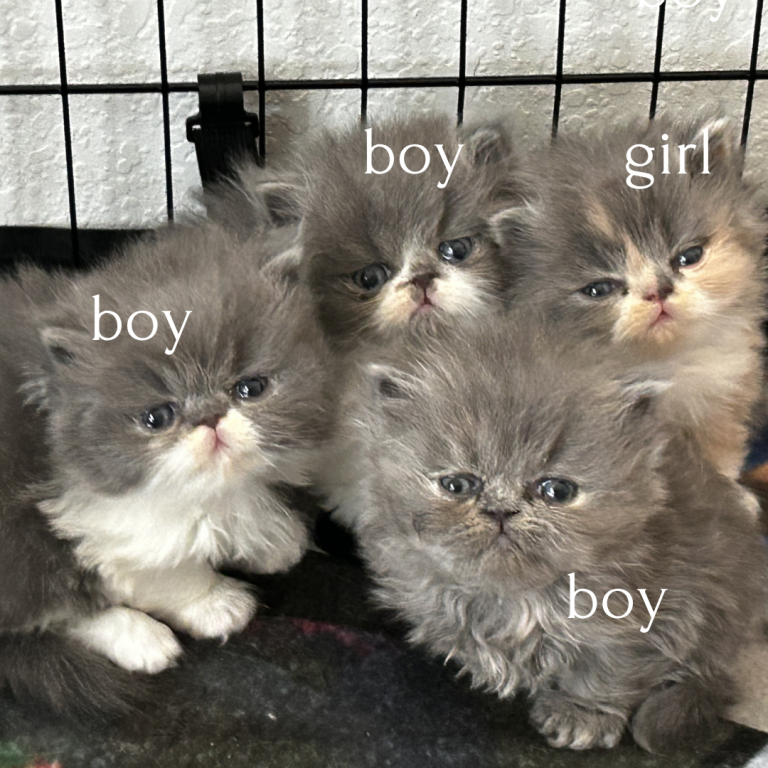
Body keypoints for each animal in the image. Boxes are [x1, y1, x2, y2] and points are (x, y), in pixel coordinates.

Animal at [0, 221, 334, 715]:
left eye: (250, 388)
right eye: (157, 417)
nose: (211, 417)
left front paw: (273, 539)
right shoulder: (108, 524)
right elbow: (169, 571)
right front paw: (216, 603)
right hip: (22, 552)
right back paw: (141, 639)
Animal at [344, 317, 766, 752]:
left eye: (557, 490)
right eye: (457, 485)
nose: (501, 509)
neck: (515, 599)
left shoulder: (662, 609)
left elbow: (612, 669)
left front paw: (582, 715)